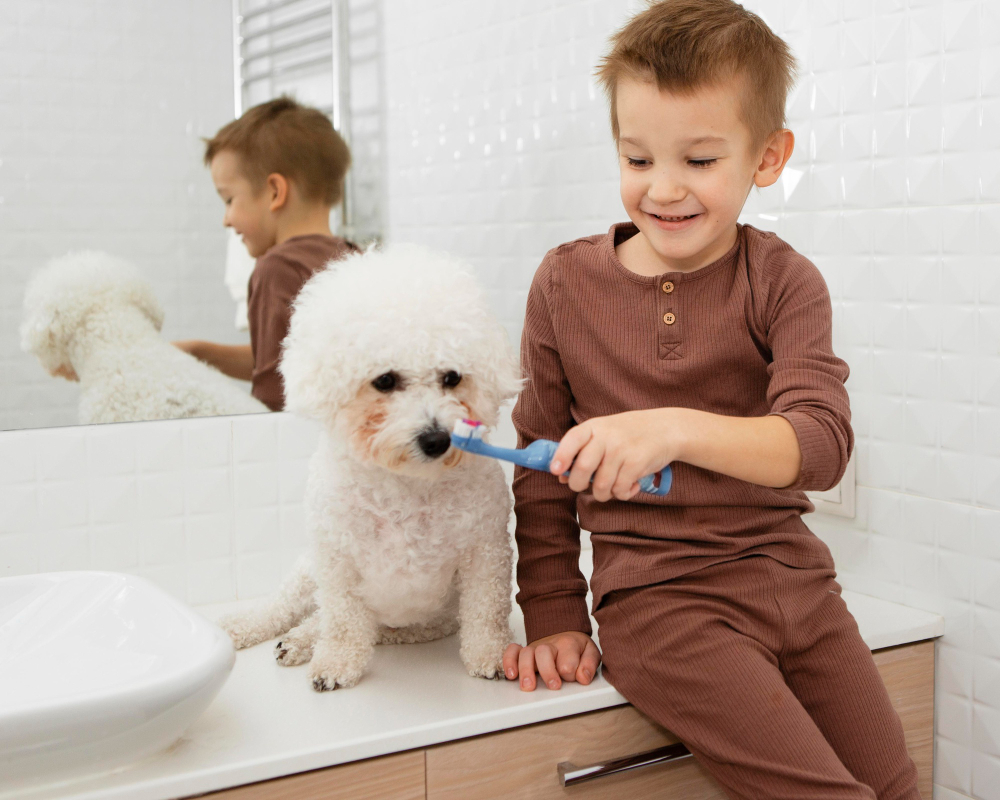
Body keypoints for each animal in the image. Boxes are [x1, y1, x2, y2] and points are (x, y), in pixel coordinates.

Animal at [221, 244, 524, 688]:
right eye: (384, 381)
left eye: (452, 377)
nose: (436, 439)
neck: (405, 484)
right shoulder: (336, 558)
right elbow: (343, 620)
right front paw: (336, 663)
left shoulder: (486, 551)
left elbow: (486, 612)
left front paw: (493, 654)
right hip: (307, 570)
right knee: (287, 607)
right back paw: (251, 628)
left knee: (340, 622)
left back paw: (301, 640)